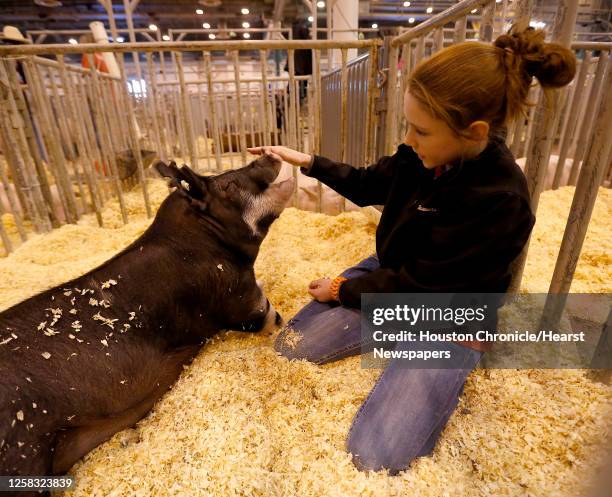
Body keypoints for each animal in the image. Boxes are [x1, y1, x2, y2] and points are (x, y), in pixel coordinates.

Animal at [0, 154, 296, 492]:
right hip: (23, 454)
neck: (204, 238)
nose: (268, 155)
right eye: (228, 185)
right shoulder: (242, 300)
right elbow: (271, 319)